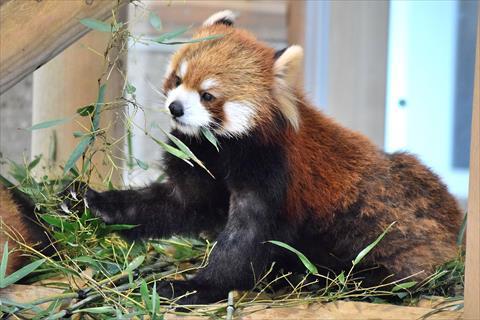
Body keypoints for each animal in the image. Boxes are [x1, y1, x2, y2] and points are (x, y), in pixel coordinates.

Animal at [87, 10, 464, 304]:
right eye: (177, 79)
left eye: (208, 95)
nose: (176, 107)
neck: (221, 146)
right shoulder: (199, 160)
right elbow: (177, 203)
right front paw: (94, 202)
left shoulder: (271, 168)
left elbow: (247, 237)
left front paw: (195, 286)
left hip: (379, 236)